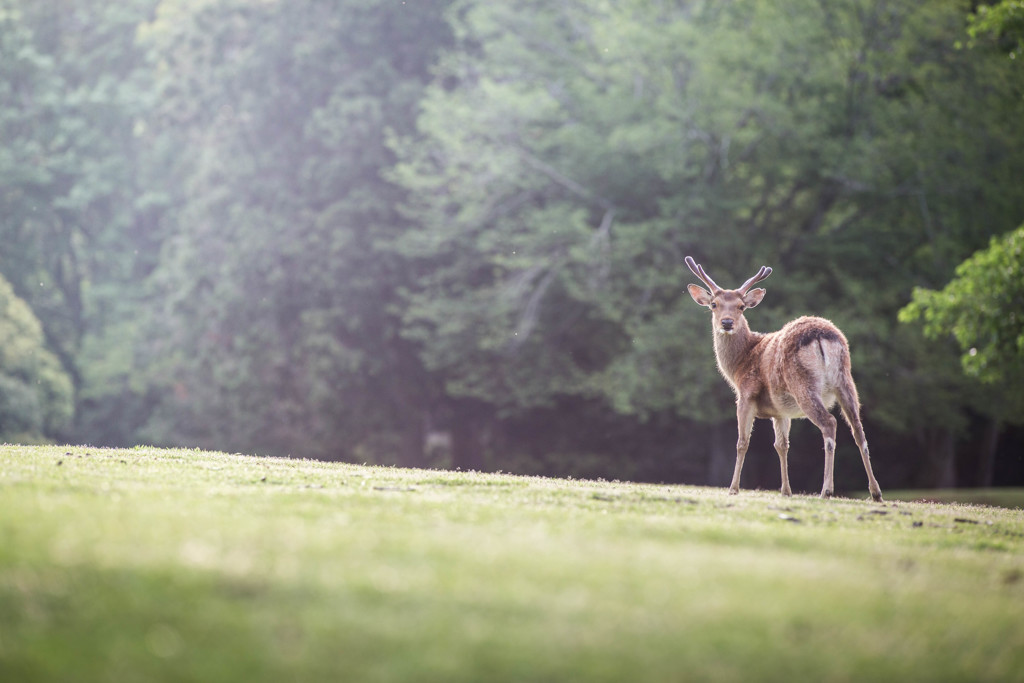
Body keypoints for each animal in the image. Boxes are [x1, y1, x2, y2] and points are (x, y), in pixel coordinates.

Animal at [684, 255, 884, 501]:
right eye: (714, 304)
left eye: (741, 306)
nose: (727, 322)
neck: (740, 363)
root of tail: (821, 336)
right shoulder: (780, 411)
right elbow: (781, 445)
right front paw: (786, 491)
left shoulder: (746, 395)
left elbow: (742, 442)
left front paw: (733, 488)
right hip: (845, 380)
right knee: (858, 429)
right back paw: (875, 492)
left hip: (803, 383)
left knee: (829, 423)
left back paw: (826, 490)